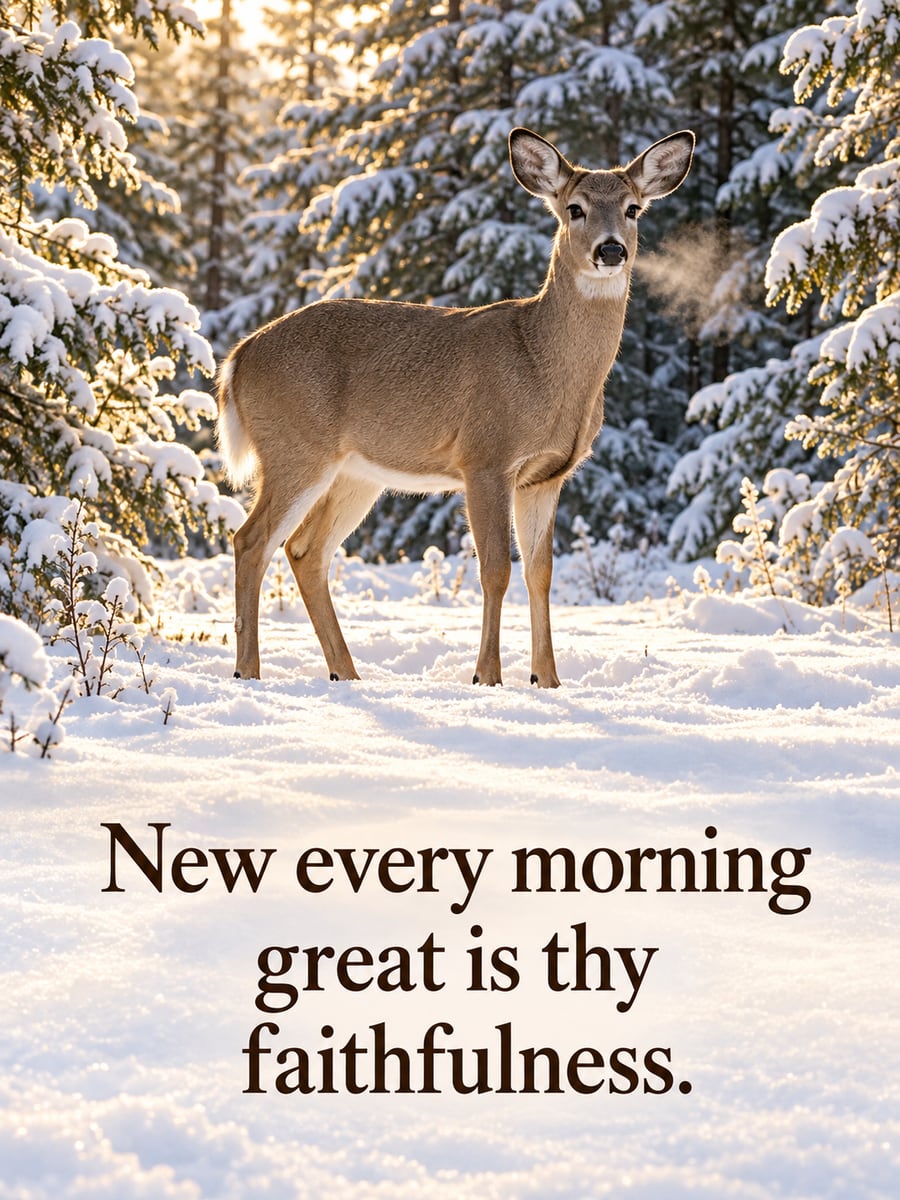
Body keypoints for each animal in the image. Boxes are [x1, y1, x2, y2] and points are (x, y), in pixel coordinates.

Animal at [217, 127, 694, 687]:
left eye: (633, 208)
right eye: (574, 208)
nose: (611, 248)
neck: (542, 365)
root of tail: (239, 357)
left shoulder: (545, 476)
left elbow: (541, 572)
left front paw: (548, 680)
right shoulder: (486, 456)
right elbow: (495, 568)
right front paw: (487, 677)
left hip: (356, 473)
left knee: (305, 551)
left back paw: (346, 674)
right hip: (295, 447)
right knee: (251, 541)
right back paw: (249, 671)